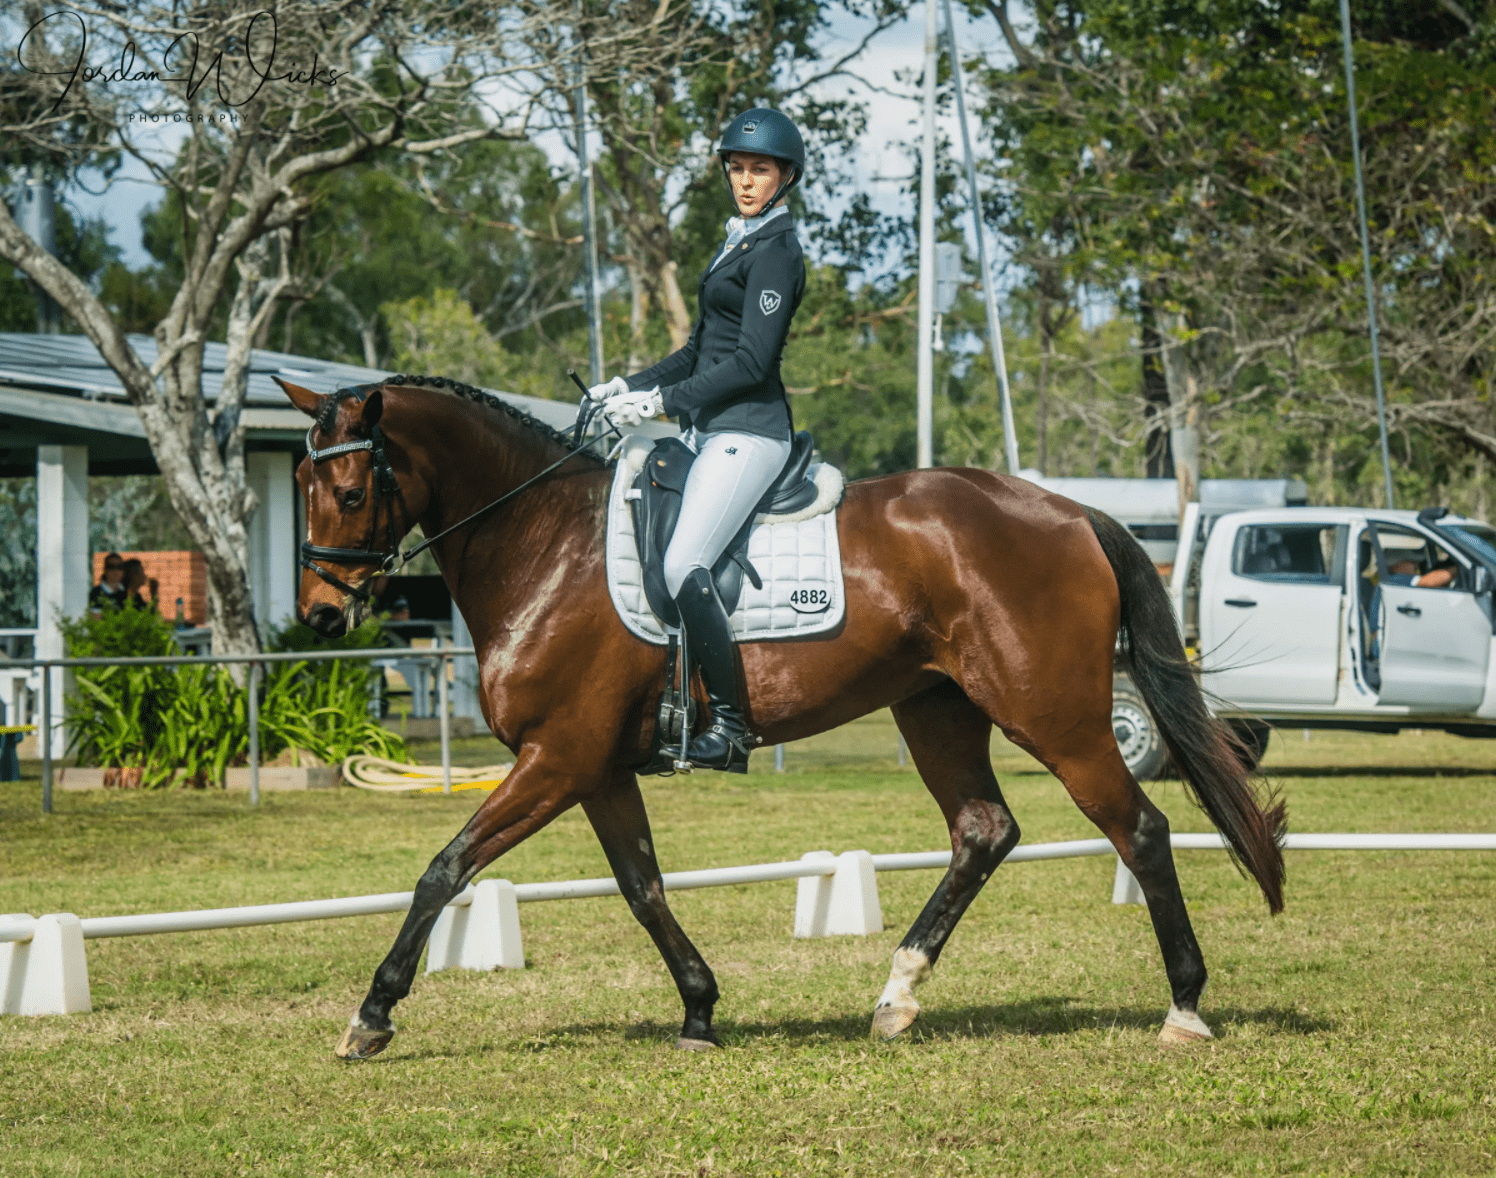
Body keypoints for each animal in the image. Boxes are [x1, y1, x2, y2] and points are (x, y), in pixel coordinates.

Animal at [278, 371, 1286, 1059]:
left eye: (354, 490)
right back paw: (897, 995)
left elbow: (444, 870)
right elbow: (643, 887)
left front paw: (371, 1014)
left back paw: (1185, 1005)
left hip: (1058, 715)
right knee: (983, 830)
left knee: (1139, 828)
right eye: (298, 483)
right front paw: (697, 1006)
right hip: (938, 709)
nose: (320, 617)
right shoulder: (593, 767)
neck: (543, 546)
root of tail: (1071, 511)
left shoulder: (555, 758)